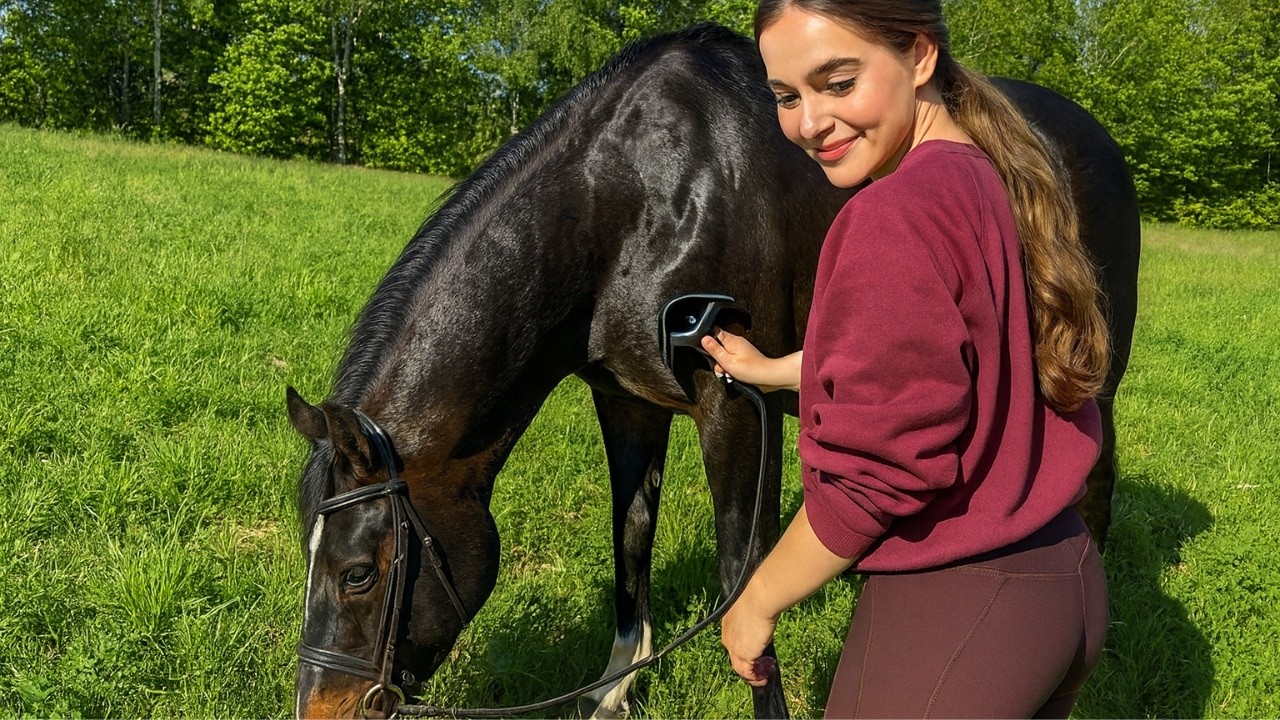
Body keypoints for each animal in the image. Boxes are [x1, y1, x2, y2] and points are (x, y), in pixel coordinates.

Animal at [285, 22, 1139, 720]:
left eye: (359, 573)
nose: (322, 708)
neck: (628, 201)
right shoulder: (629, 405)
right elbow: (632, 542)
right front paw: (613, 692)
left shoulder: (733, 405)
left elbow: (742, 575)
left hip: (1091, 378)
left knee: (1093, 482)